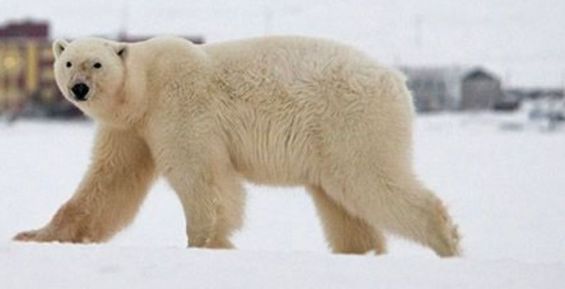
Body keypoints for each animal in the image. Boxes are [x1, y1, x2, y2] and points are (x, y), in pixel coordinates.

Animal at [14, 36, 458, 256]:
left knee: (369, 181)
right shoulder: (132, 129)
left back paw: (446, 239)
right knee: (341, 204)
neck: (144, 84)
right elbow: (108, 184)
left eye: (97, 63)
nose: (79, 88)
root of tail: (398, 81)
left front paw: (207, 244)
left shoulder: (177, 106)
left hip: (351, 121)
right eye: (68, 62)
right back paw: (362, 251)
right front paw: (34, 235)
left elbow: (201, 176)